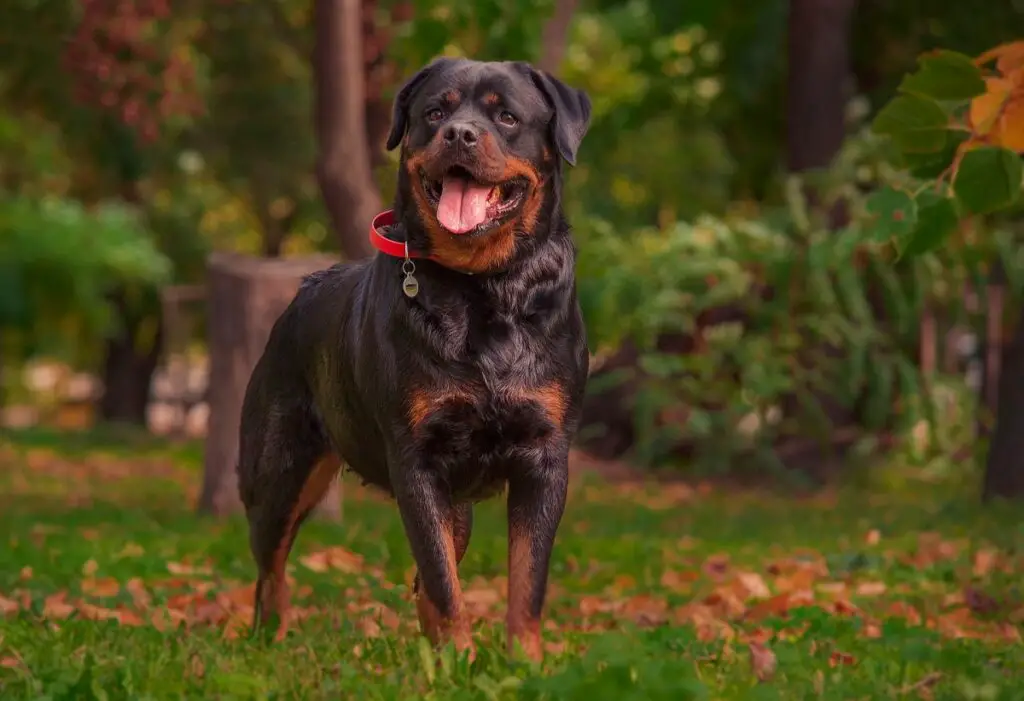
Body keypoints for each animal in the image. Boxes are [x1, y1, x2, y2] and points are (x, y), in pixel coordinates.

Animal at [237, 57, 593, 659]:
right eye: (434, 112)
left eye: (506, 116)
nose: (460, 134)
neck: (482, 290)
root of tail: (302, 291)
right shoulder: (416, 461)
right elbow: (445, 584)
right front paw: (458, 661)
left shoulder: (544, 457)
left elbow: (524, 581)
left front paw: (524, 662)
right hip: (278, 471)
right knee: (270, 566)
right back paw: (270, 639)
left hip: (456, 503)